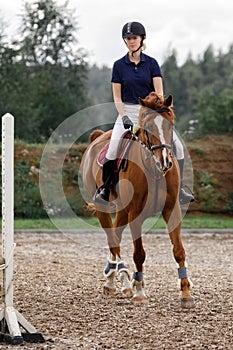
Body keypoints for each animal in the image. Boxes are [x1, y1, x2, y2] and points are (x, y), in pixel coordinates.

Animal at [80, 93, 195, 308]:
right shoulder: (135, 214)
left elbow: (179, 250)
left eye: (170, 125)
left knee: (116, 237)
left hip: (122, 210)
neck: (153, 169)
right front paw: (140, 291)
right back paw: (121, 280)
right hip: (102, 207)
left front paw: (186, 293)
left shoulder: (172, 209)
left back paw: (115, 279)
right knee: (113, 239)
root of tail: (97, 137)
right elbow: (139, 253)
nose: (165, 162)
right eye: (148, 127)